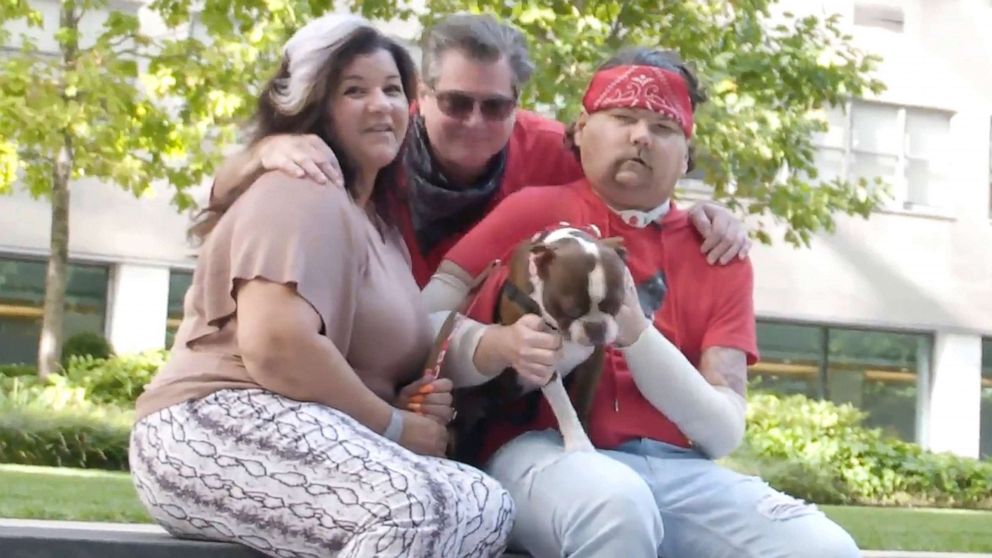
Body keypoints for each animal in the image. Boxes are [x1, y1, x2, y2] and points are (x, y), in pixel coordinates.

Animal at [452, 225, 628, 466]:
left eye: (616, 305)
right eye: (570, 310)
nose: (596, 327)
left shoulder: (594, 358)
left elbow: (583, 396)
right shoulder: (539, 358)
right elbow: (563, 406)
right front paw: (579, 445)